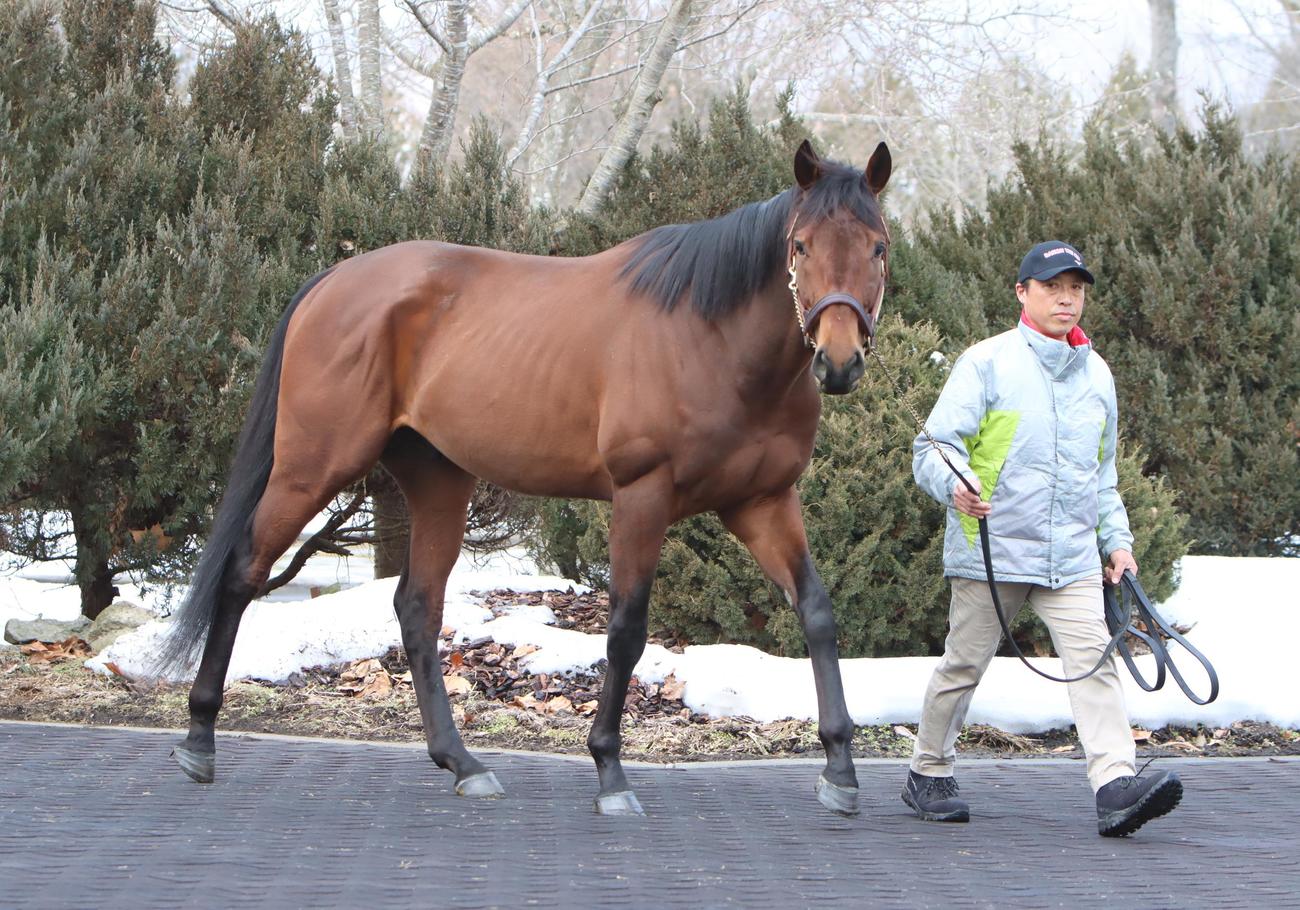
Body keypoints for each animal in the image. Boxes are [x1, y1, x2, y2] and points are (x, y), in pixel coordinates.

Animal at [163, 138, 893, 818]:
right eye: (799, 245)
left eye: (879, 247)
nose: (837, 362)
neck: (714, 339)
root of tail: (334, 277)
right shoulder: (642, 497)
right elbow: (626, 629)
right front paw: (609, 770)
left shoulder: (762, 502)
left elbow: (816, 611)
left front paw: (840, 770)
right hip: (312, 467)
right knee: (243, 572)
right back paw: (199, 739)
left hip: (439, 482)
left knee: (418, 607)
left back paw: (461, 762)